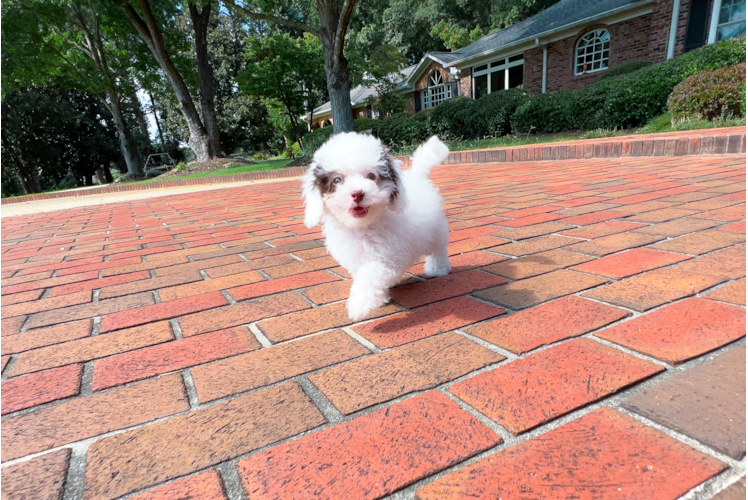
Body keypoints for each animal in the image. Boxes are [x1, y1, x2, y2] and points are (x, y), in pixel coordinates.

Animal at [302, 133, 450, 320]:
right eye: (337, 180)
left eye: (371, 176)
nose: (357, 193)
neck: (362, 227)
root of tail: (417, 175)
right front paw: (379, 297)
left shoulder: (386, 257)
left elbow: (370, 276)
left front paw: (359, 305)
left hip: (435, 231)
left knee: (438, 250)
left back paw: (437, 269)